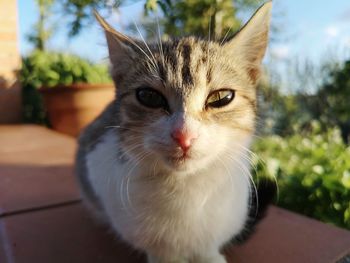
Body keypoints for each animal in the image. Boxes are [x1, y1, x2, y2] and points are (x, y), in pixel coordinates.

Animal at [76, 2, 276, 263]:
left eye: (221, 97)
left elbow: (207, 247)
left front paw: (210, 256)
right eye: (148, 97)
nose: (184, 135)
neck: (184, 189)